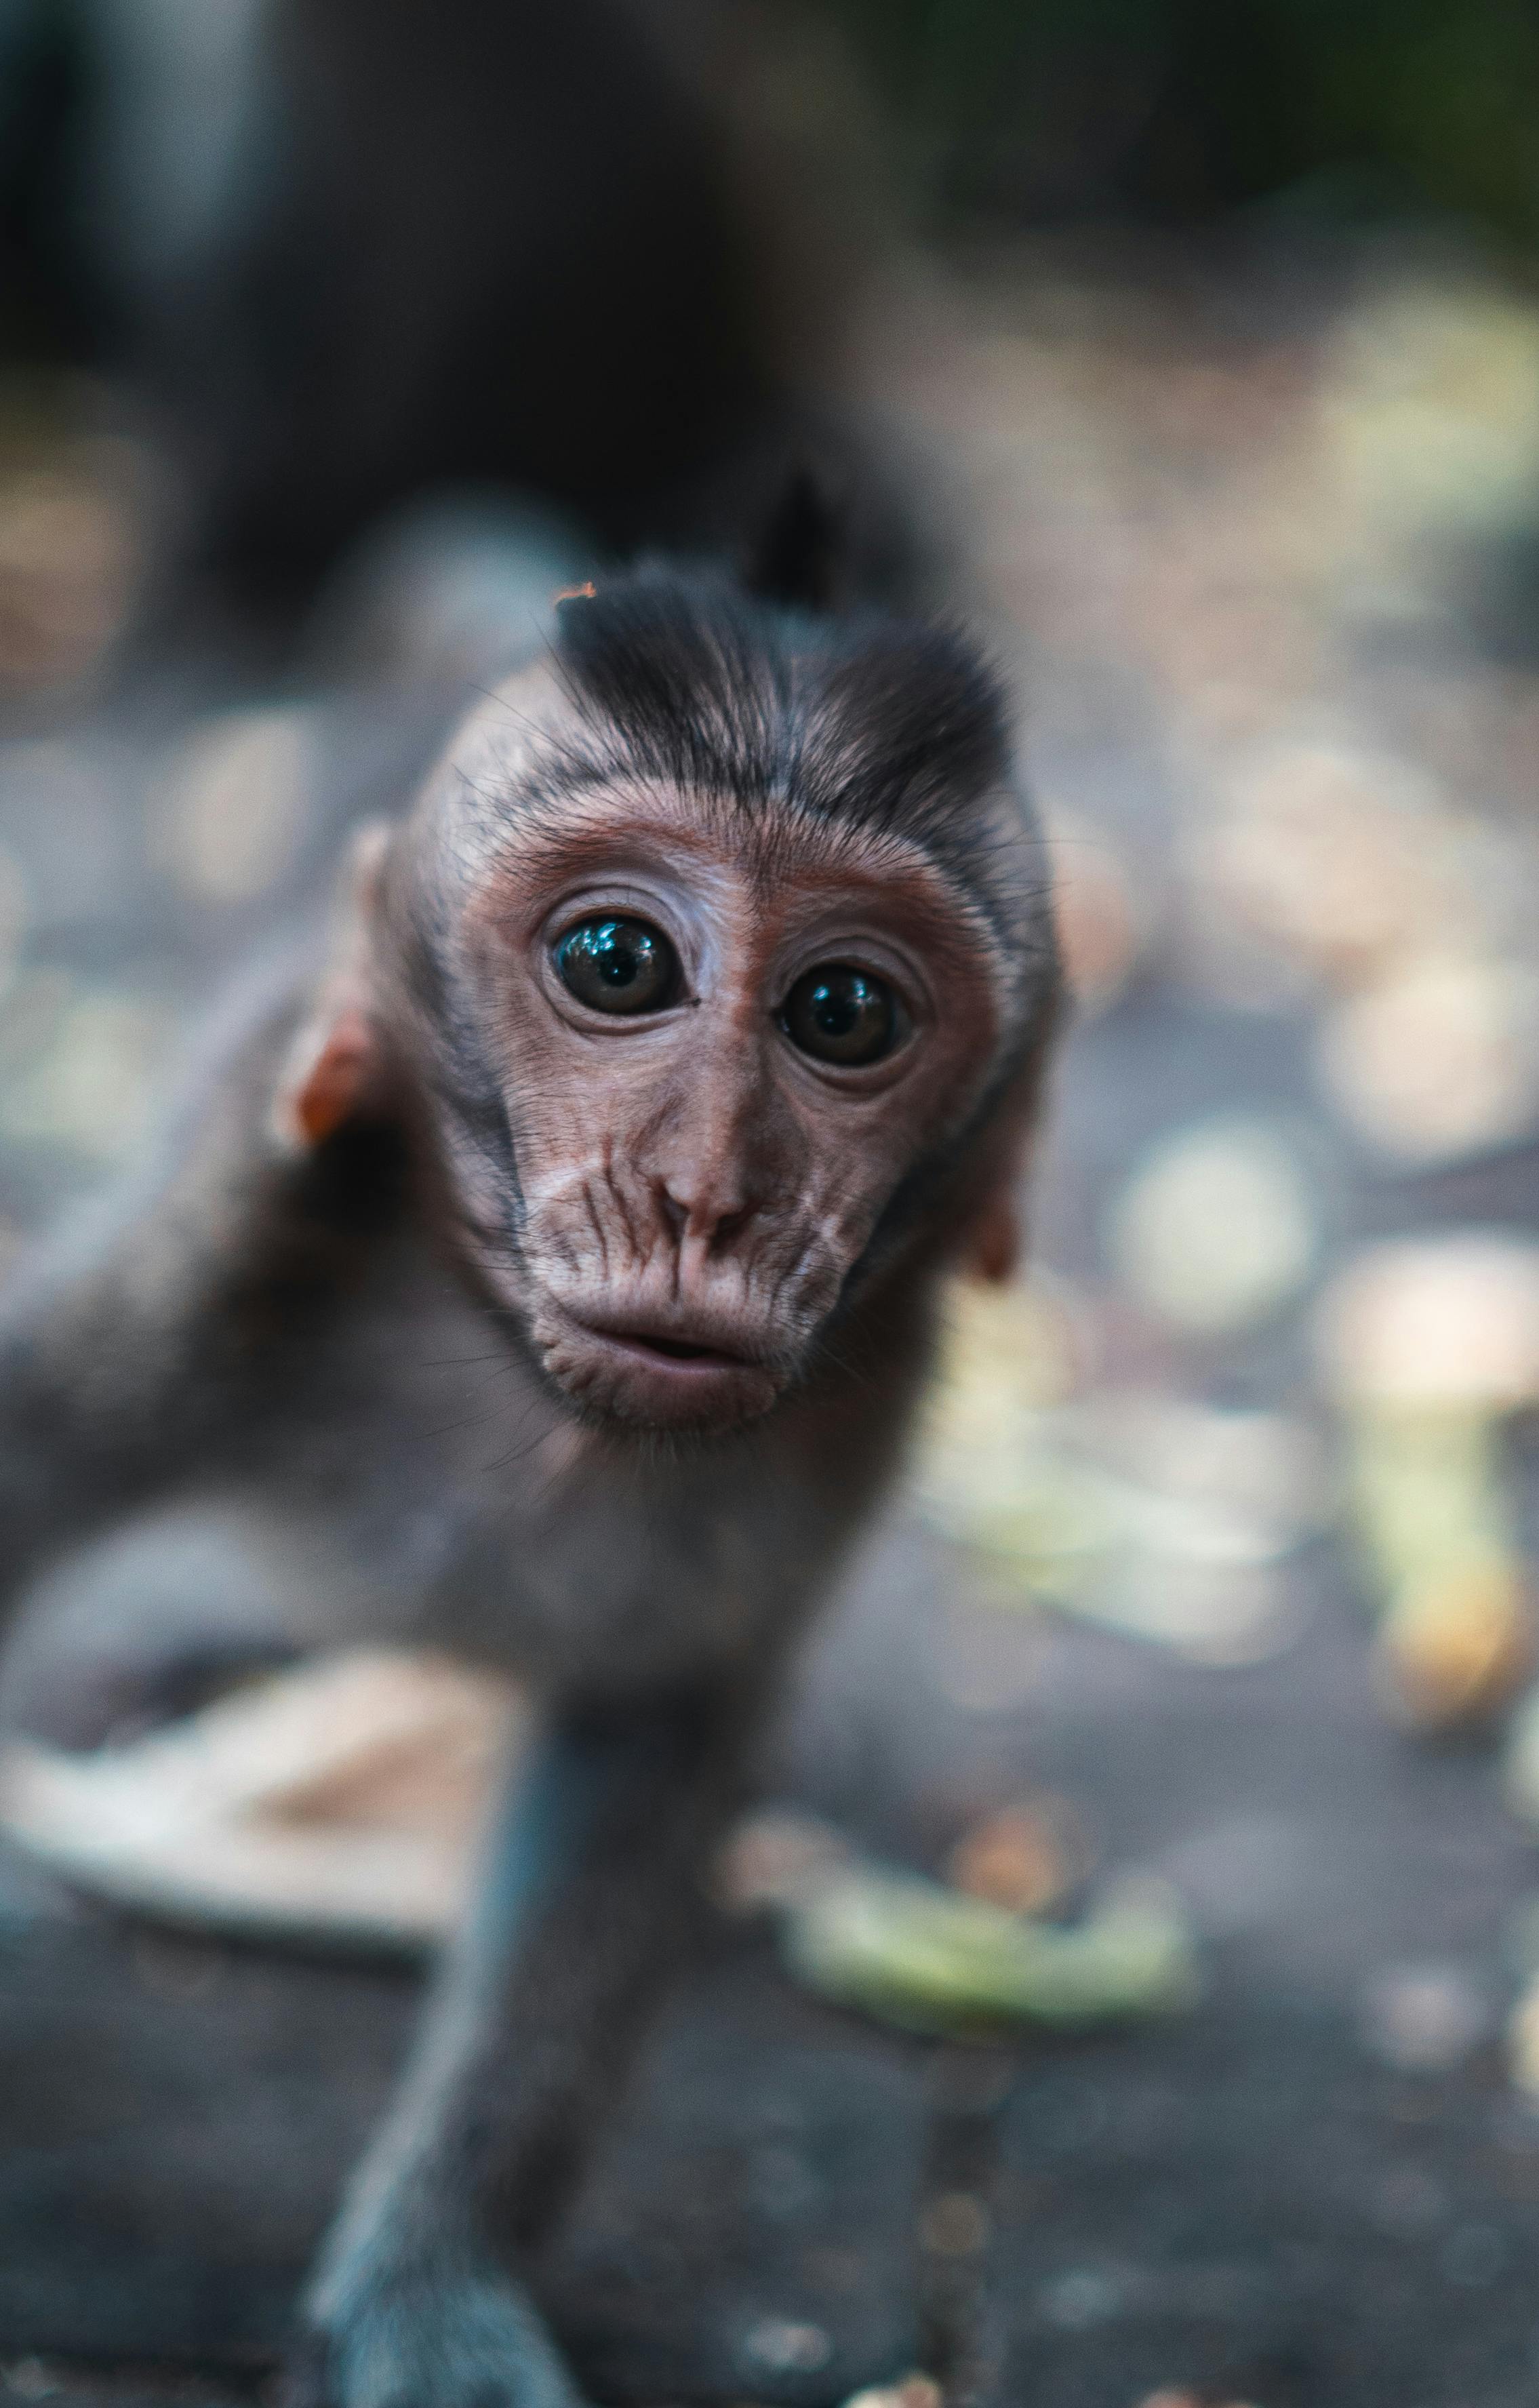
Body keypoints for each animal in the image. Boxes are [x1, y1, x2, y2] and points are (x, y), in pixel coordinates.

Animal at [0, 541, 1059, 2406]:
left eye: (844, 1010)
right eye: (617, 960)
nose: (704, 1200)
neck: (518, 1397)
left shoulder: (830, 1452)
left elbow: (646, 1749)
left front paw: (438, 2271)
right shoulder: (232, 1256)